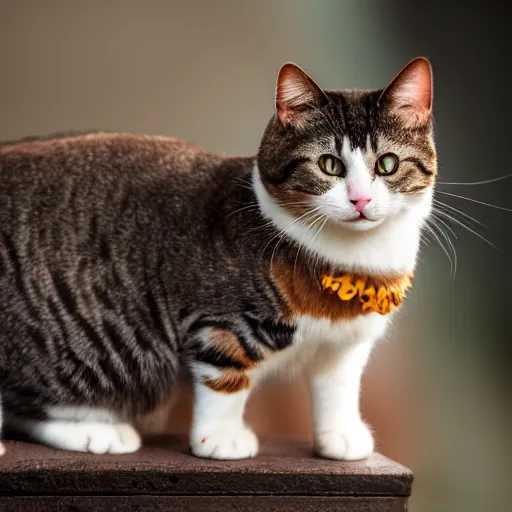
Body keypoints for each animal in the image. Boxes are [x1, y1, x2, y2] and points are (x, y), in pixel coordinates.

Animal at [0, 57, 436, 460]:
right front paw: (220, 438)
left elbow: (339, 389)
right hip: (99, 353)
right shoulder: (220, 324)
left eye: (388, 164)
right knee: (28, 405)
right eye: (330, 165)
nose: (360, 200)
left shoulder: (346, 345)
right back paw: (95, 430)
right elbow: (225, 378)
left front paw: (340, 438)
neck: (355, 261)